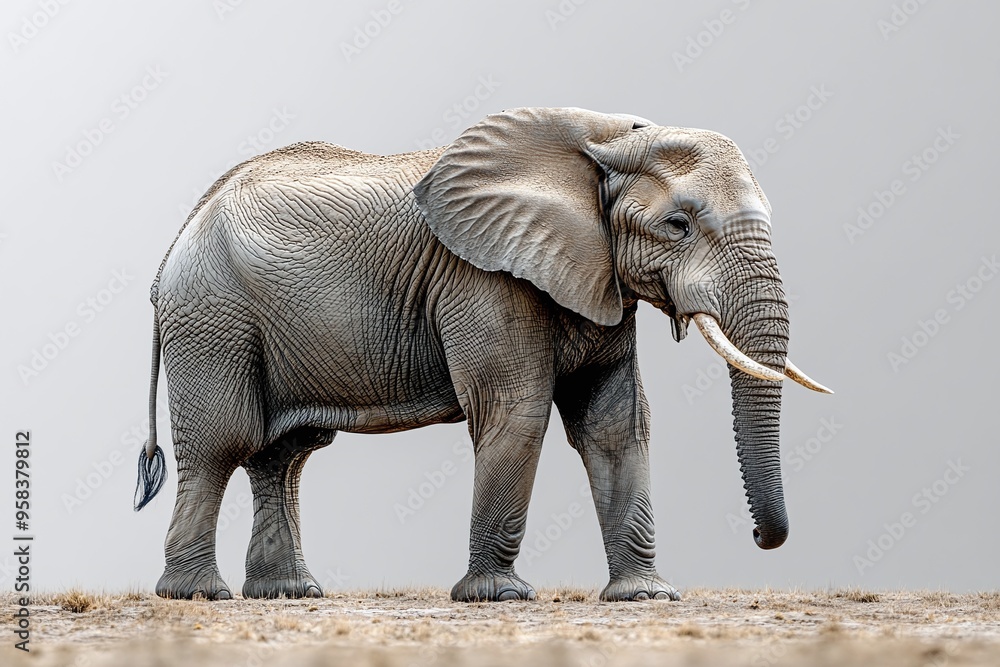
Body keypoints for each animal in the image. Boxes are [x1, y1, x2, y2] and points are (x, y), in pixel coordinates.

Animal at [134, 106, 831, 602]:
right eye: (678, 225)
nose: (759, 536)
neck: (608, 138)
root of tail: (176, 241)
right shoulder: (483, 279)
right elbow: (516, 414)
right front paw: (499, 597)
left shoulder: (598, 277)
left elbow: (615, 424)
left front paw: (646, 598)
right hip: (213, 317)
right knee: (223, 443)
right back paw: (200, 596)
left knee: (284, 454)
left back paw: (289, 594)